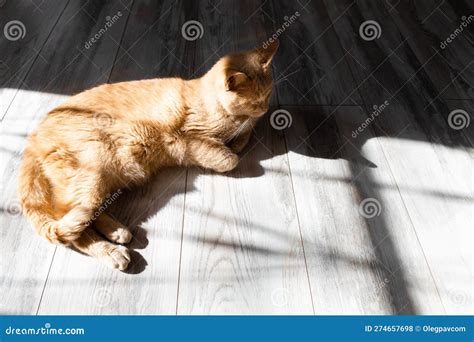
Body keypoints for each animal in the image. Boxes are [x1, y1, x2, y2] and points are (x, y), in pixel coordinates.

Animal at [17, 39, 278, 270]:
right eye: (255, 101)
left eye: (268, 95)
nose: (265, 109)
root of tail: (33, 140)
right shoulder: (186, 140)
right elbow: (229, 159)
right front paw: (232, 148)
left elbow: (243, 136)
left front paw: (240, 137)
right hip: (93, 168)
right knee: (74, 227)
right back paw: (113, 253)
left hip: (102, 180)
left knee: (85, 212)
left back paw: (117, 231)